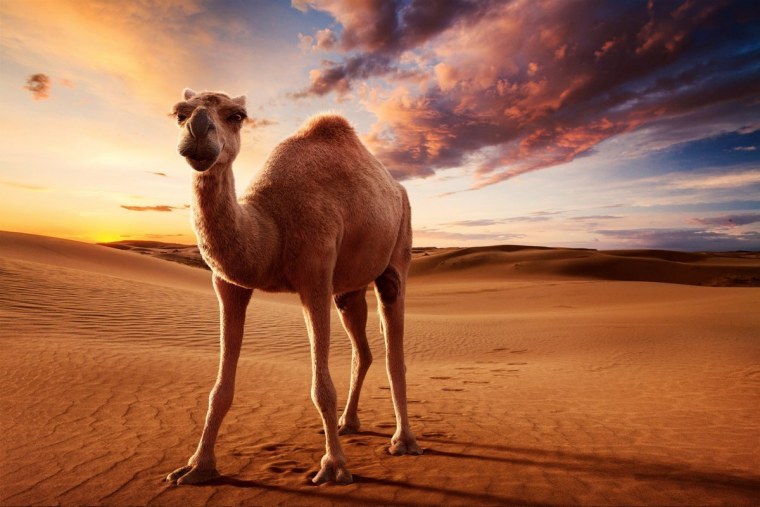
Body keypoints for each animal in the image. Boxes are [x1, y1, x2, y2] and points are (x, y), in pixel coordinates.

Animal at [165, 89, 421, 486]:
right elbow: (220, 388)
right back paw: (348, 423)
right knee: (361, 348)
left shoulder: (315, 277)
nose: (198, 130)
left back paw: (403, 441)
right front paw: (197, 467)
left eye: (237, 115)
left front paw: (334, 466)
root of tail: (397, 186)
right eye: (180, 113)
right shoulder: (229, 284)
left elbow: (321, 387)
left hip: (399, 245)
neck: (271, 228)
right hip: (347, 288)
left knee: (394, 345)